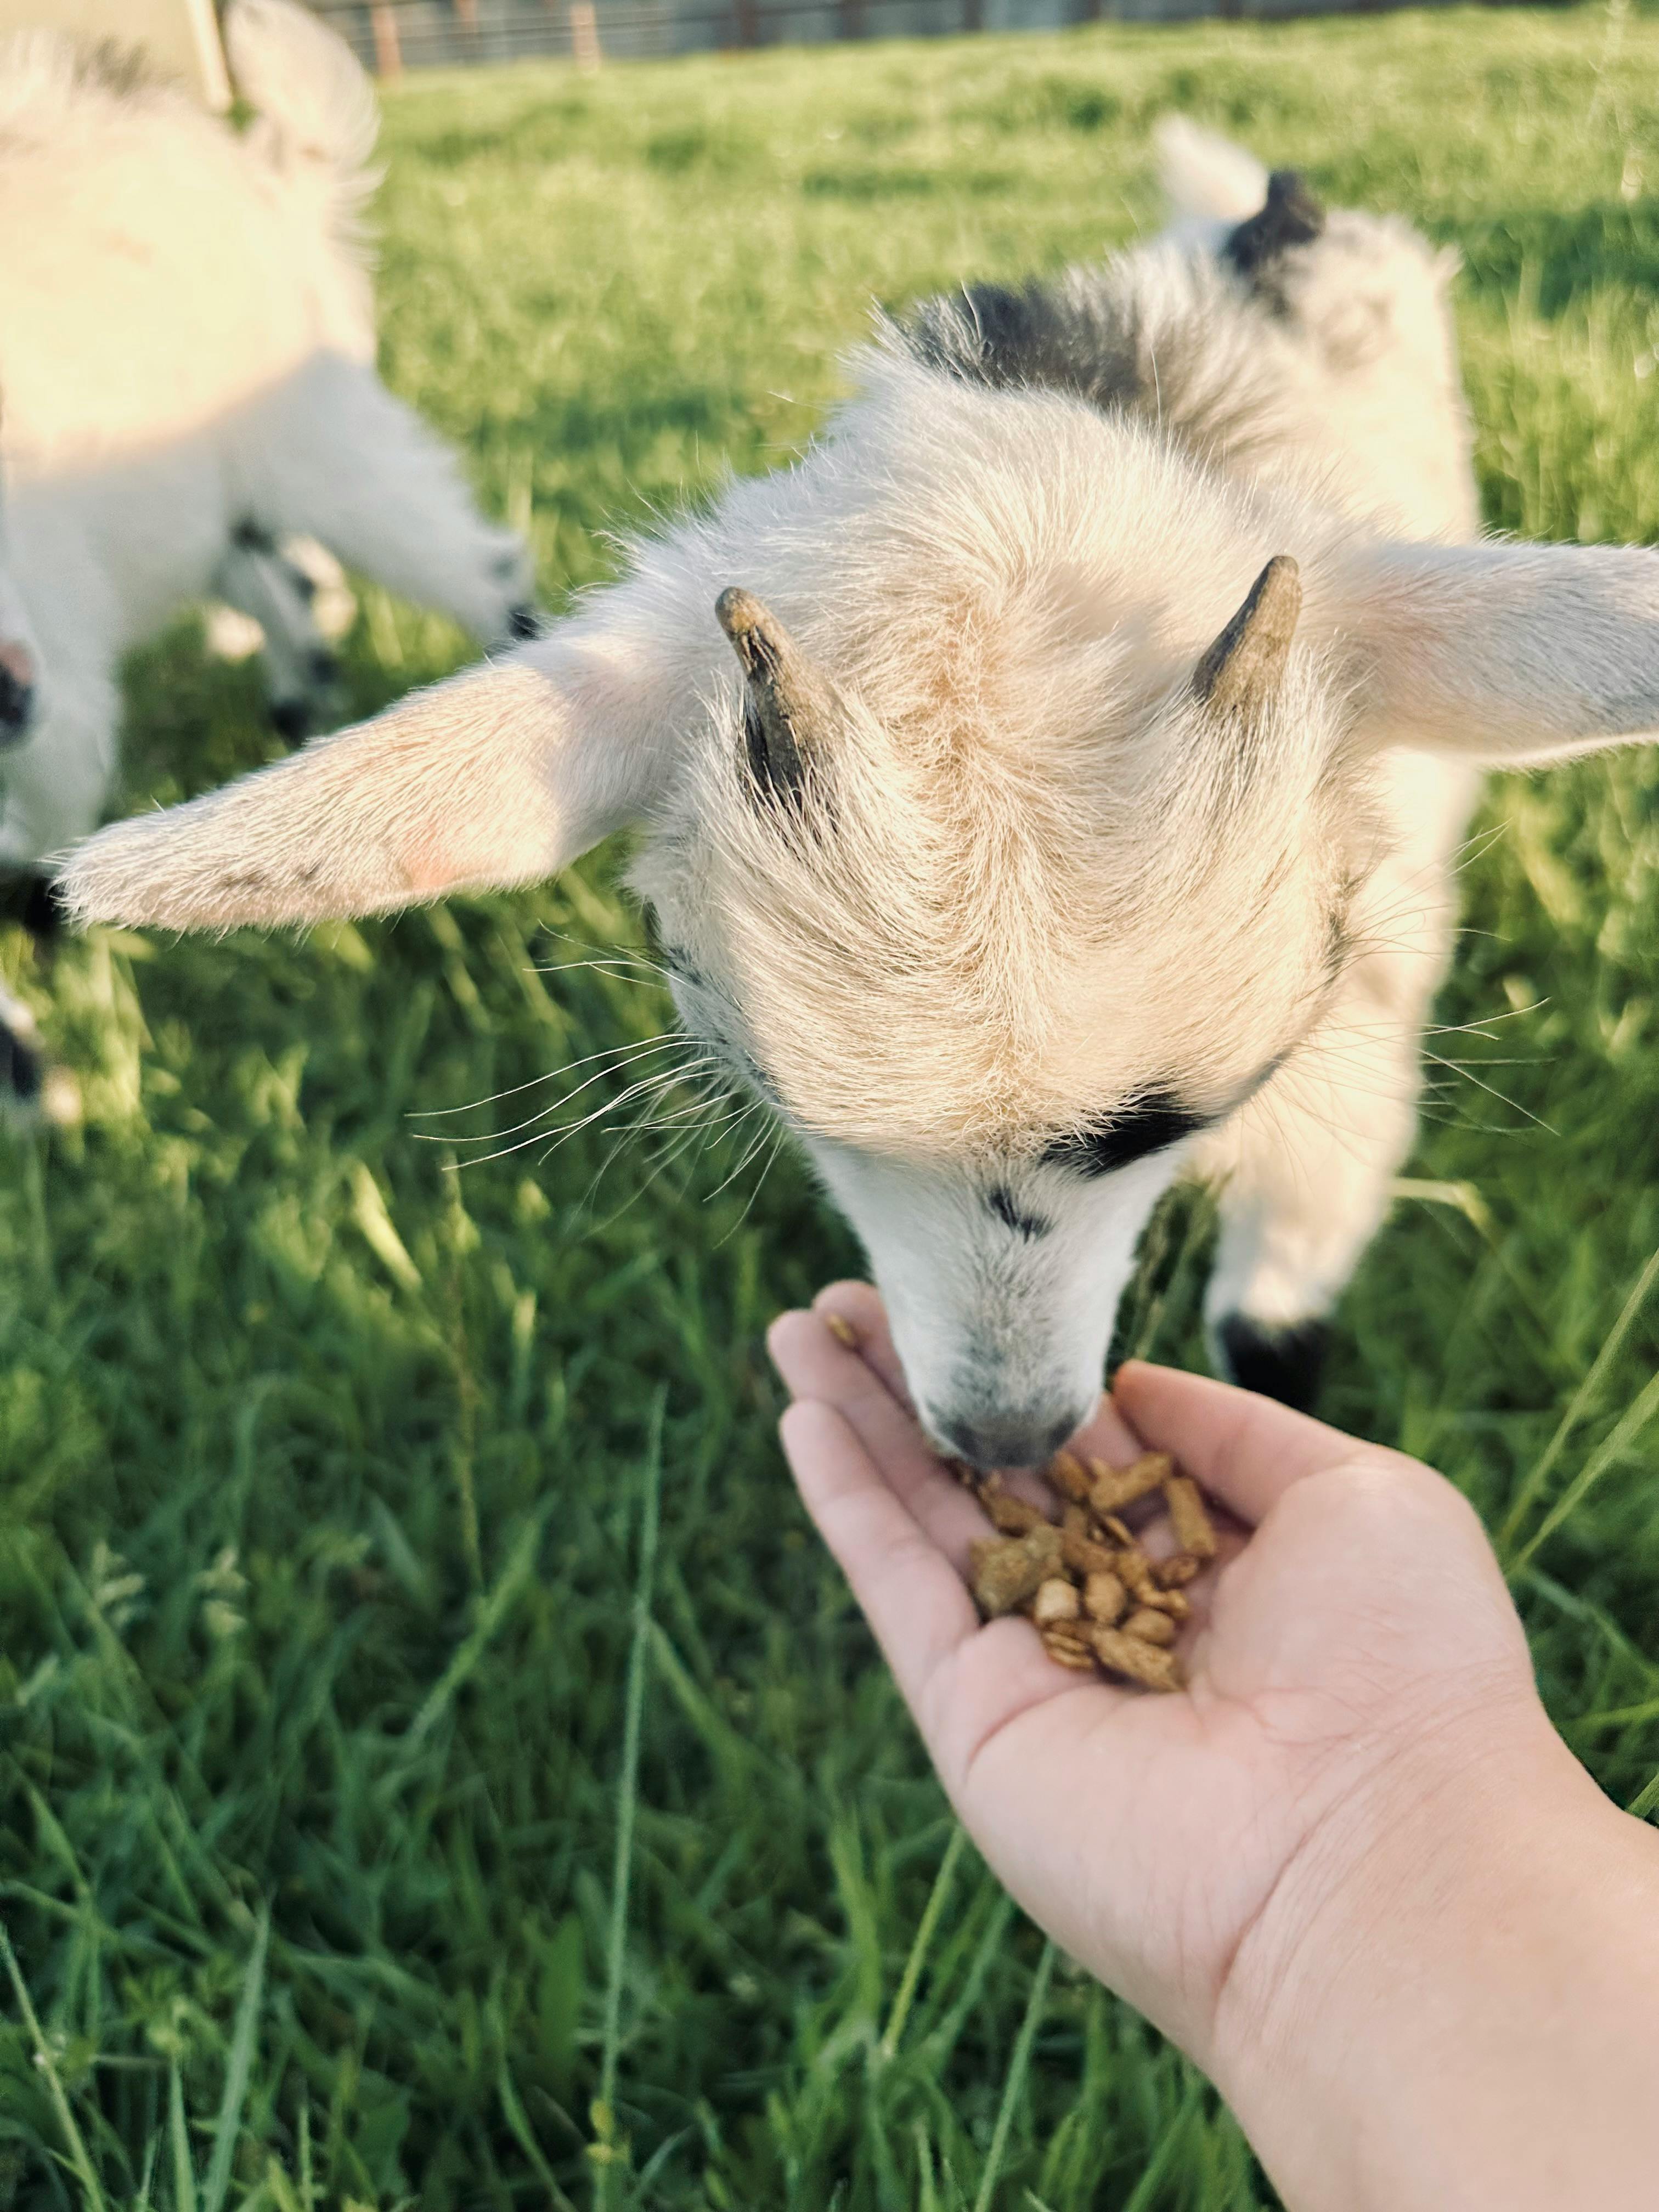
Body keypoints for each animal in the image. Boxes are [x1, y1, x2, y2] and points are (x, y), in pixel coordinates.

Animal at [0, 0, 540, 1090]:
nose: (5, 690)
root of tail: (268, 170)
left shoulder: (52, 663)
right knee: (283, 587)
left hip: (305, 430)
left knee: (468, 567)